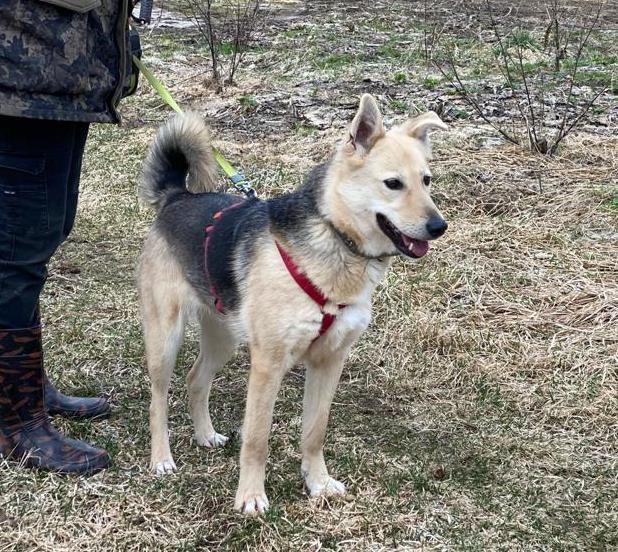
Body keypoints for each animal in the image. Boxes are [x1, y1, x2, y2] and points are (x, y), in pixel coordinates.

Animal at [137, 94, 448, 512]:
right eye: (393, 184)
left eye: (426, 180)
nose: (439, 227)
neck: (336, 240)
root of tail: (177, 197)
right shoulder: (268, 364)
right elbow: (257, 439)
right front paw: (251, 497)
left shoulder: (330, 361)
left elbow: (315, 431)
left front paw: (317, 482)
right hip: (165, 338)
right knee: (158, 399)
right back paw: (162, 458)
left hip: (223, 337)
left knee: (196, 379)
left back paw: (205, 434)